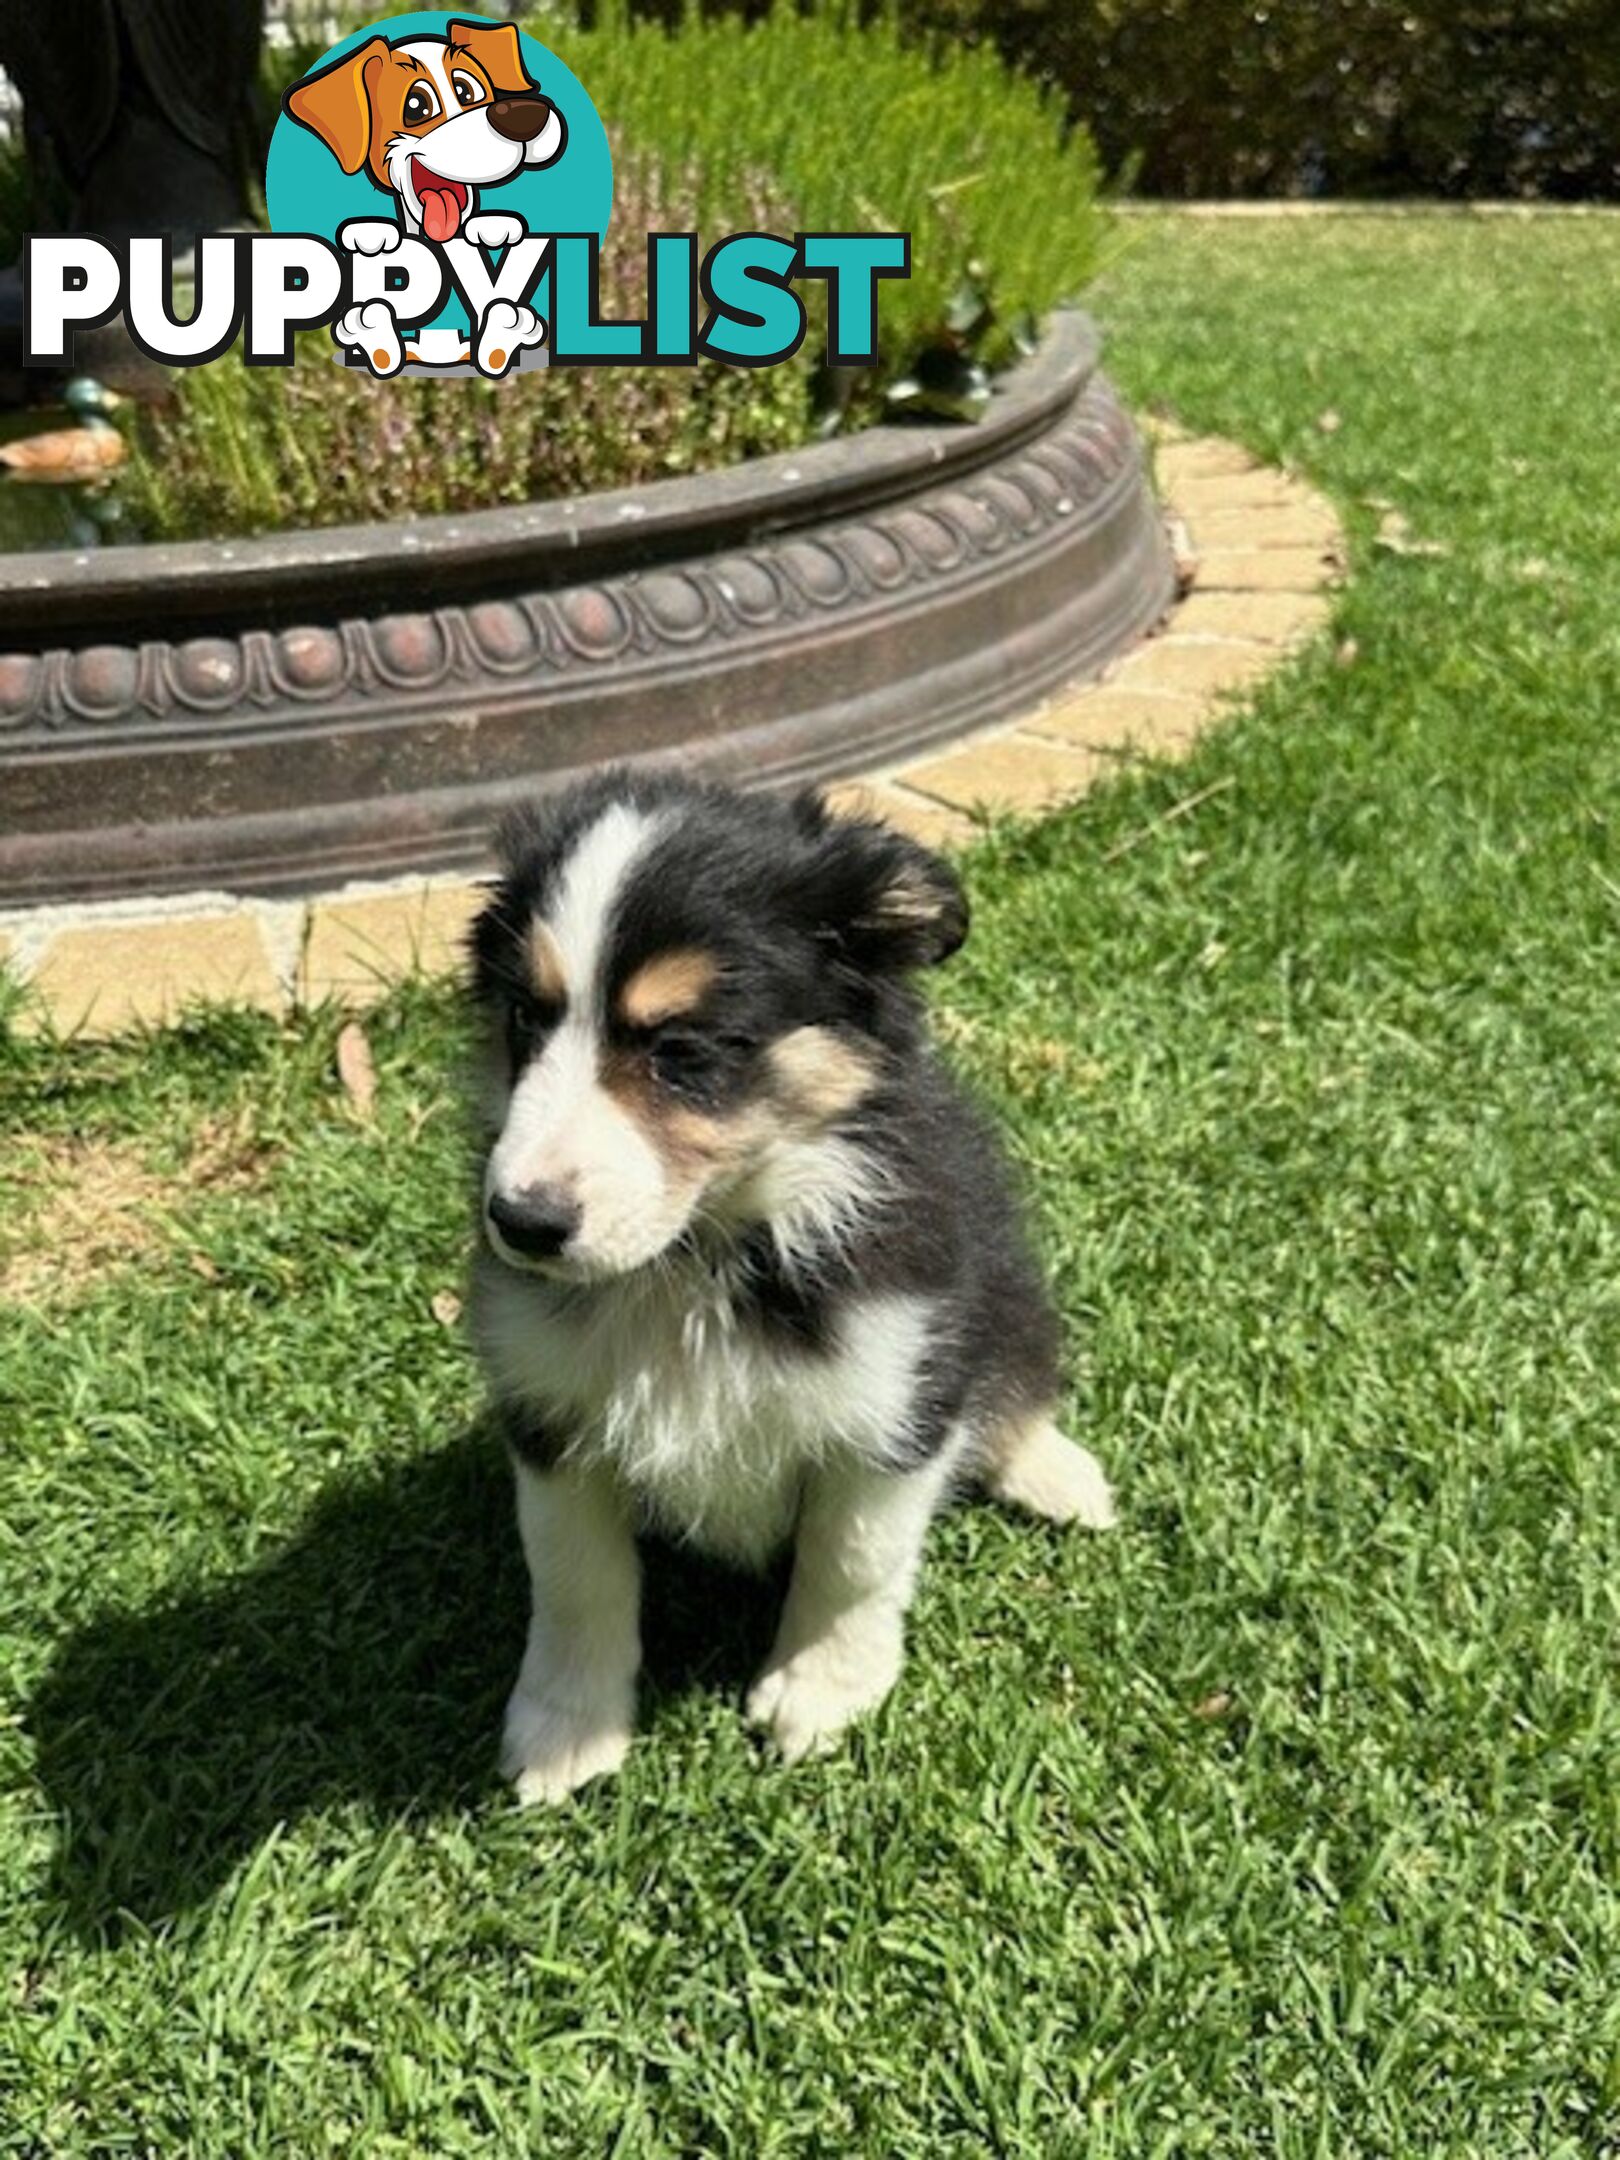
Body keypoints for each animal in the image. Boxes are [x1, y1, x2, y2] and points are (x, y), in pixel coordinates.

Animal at [468, 768, 1114, 1797]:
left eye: (683, 1050)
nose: (520, 1222)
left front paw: (819, 1690)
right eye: (525, 1017)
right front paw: (565, 1730)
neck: (702, 1259)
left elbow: (852, 1559)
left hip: (1006, 1294)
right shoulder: (550, 1410)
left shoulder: (895, 1394)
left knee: (1016, 1381)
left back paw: (1059, 1475)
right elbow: (573, 1575)